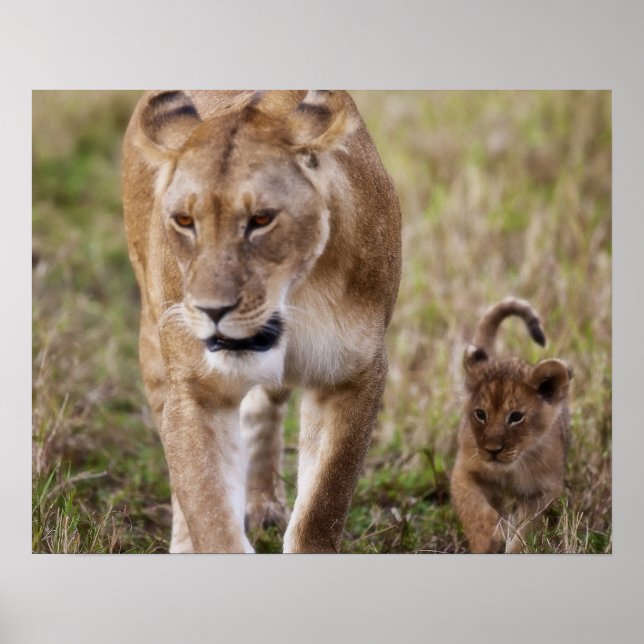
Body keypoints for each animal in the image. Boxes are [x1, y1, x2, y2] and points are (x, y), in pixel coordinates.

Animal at [121, 90, 401, 552]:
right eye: (185, 221)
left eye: (261, 220)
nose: (212, 310)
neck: (295, 298)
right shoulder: (196, 390)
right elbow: (207, 508)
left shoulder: (353, 375)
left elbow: (324, 502)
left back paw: (263, 504)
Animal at [450, 297, 572, 553]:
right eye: (480, 414)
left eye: (516, 417)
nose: (493, 451)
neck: (510, 470)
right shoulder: (464, 469)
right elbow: (472, 505)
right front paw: (488, 540)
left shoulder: (545, 490)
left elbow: (529, 527)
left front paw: (516, 547)